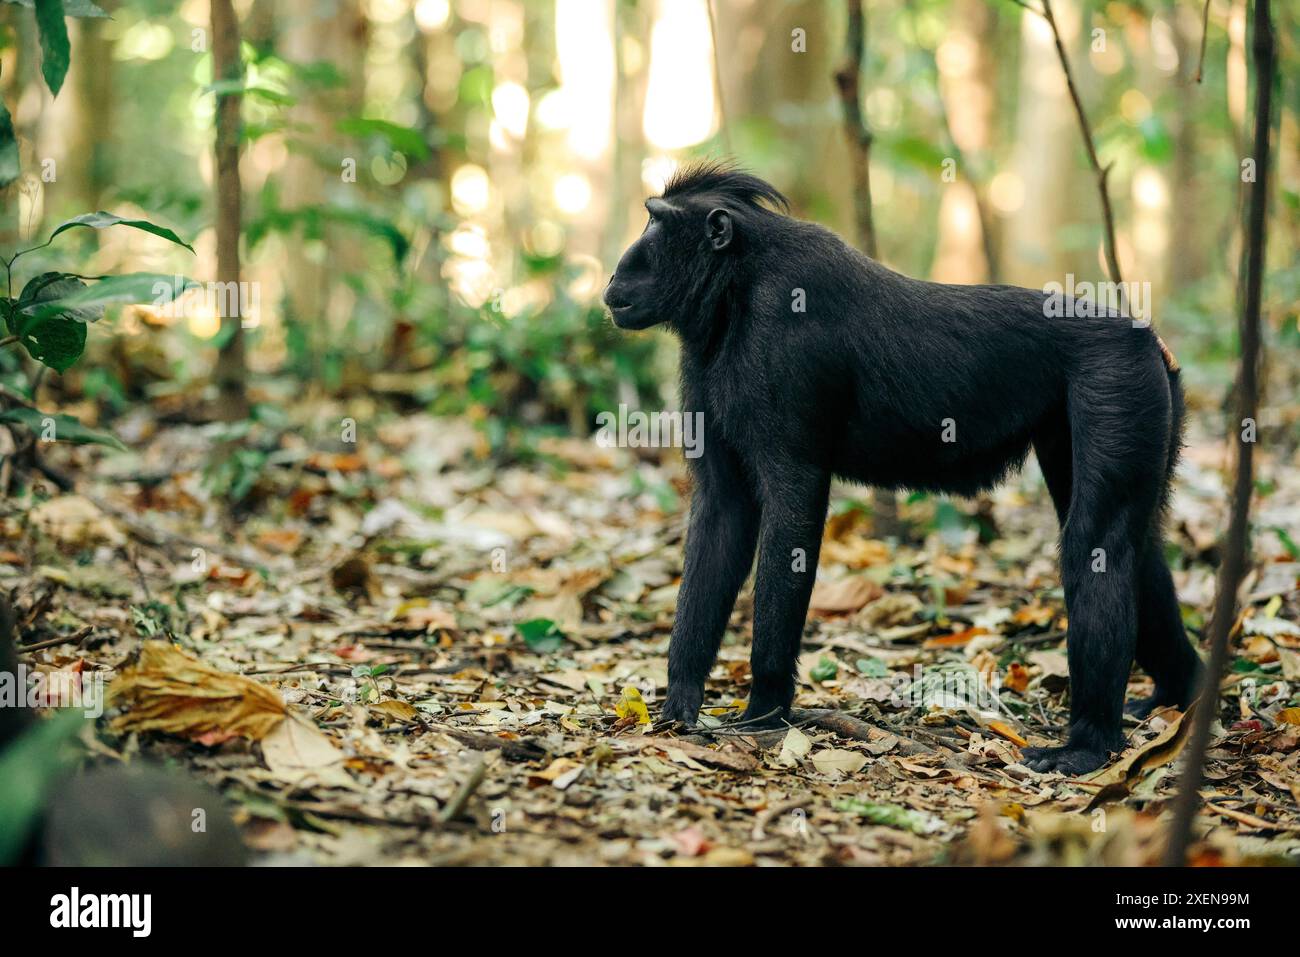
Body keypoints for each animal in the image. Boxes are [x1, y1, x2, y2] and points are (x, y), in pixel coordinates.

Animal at [602, 162, 1202, 775]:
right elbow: (722, 513)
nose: (618, 270)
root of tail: (1145, 336)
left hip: (1117, 384)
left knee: (1096, 542)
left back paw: (1090, 744)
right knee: (1135, 546)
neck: (737, 285)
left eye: (655, 222)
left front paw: (765, 707)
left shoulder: (781, 344)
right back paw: (1182, 692)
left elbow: (793, 506)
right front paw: (679, 702)